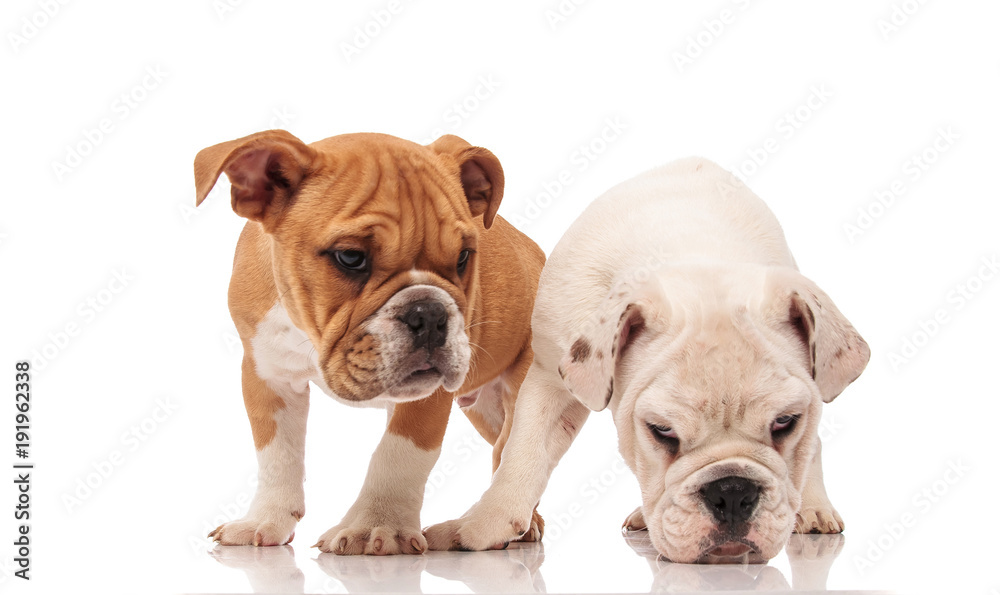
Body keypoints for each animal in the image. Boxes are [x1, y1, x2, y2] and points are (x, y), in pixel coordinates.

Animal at [195, 129, 548, 556]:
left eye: (464, 256)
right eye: (350, 257)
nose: (429, 314)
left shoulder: (423, 399)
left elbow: (398, 455)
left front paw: (376, 526)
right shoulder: (267, 375)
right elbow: (277, 454)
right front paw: (266, 518)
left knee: (514, 451)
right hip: (485, 409)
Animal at [426, 157, 872, 564]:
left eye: (785, 422)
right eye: (662, 431)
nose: (732, 492)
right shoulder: (552, 380)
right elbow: (524, 453)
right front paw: (479, 527)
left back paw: (814, 509)